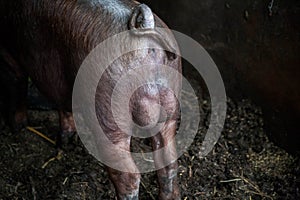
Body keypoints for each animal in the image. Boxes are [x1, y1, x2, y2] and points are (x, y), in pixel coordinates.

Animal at [0, 0, 180, 199]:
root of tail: (145, 28)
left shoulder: (7, 53)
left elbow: (17, 83)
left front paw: (17, 128)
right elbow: (64, 106)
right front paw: (64, 142)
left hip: (109, 117)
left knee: (128, 174)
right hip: (170, 106)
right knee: (169, 160)